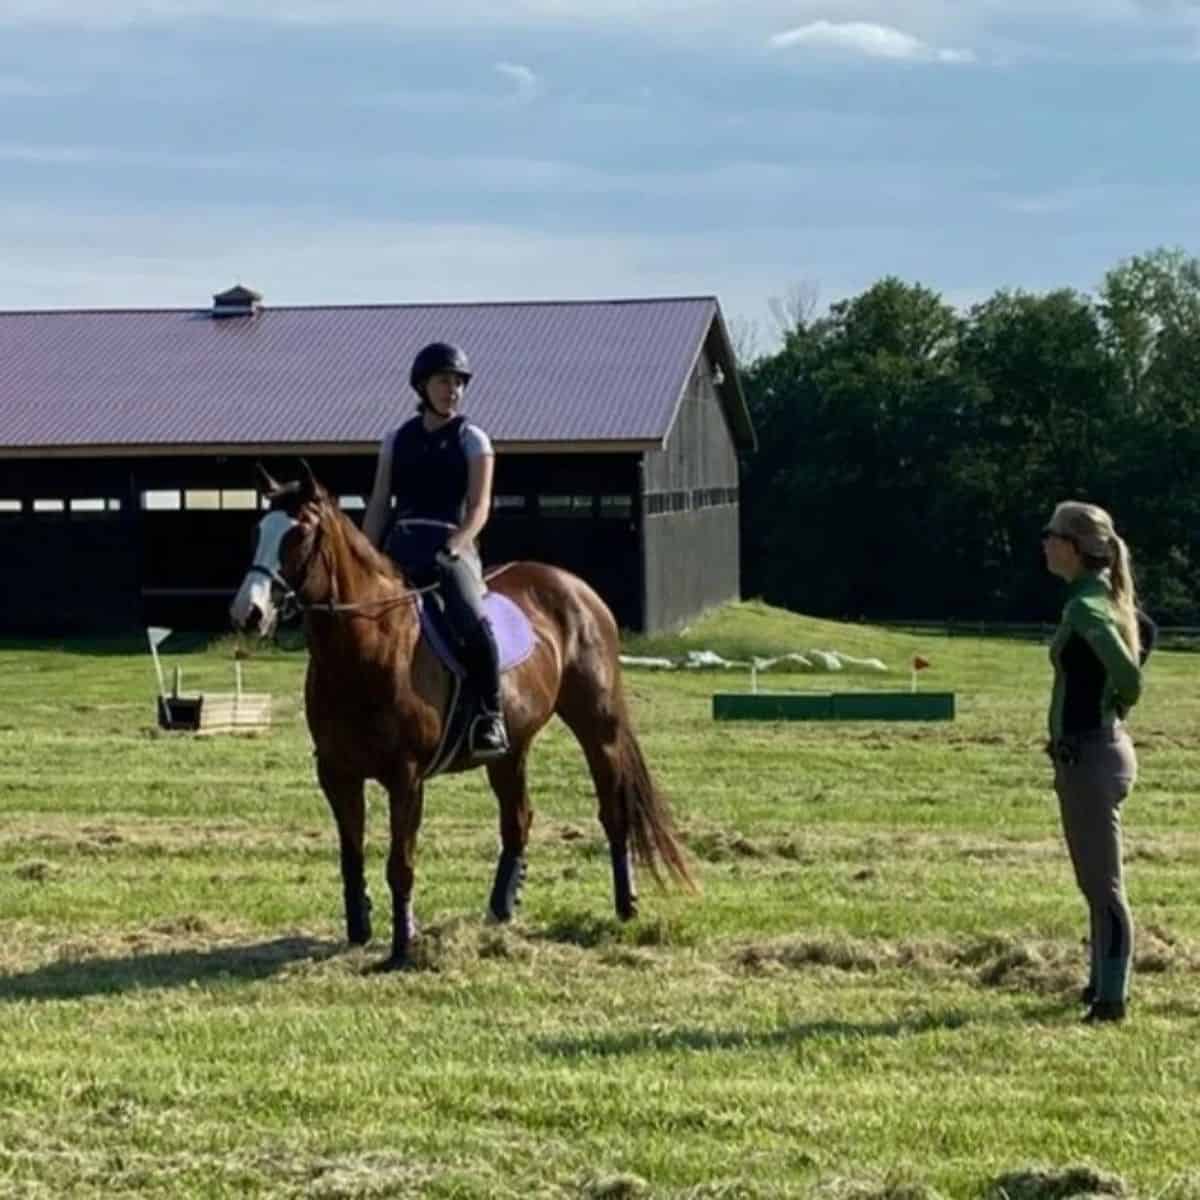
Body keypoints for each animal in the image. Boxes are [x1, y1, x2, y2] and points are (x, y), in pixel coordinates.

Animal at [229, 463, 696, 969]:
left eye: (299, 533)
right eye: (256, 531)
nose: (248, 613)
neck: (368, 648)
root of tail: (575, 587)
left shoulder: (405, 776)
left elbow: (401, 864)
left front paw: (401, 950)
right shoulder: (337, 773)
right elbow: (351, 856)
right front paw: (359, 932)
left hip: (598, 727)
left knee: (613, 811)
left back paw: (626, 906)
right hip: (510, 750)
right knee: (518, 819)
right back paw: (501, 911)